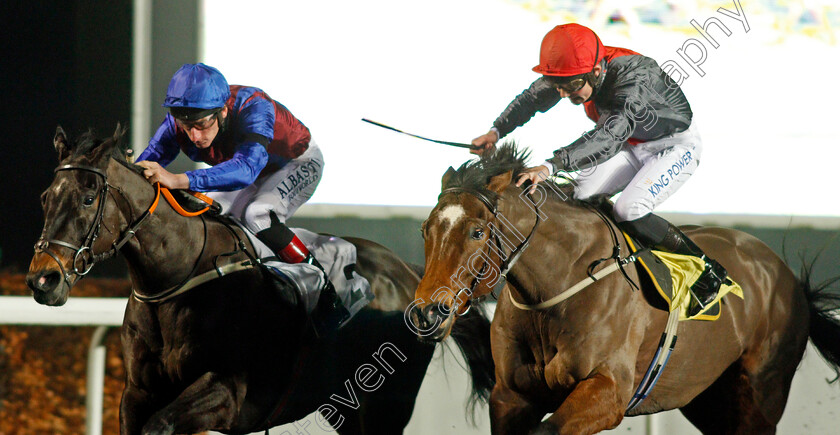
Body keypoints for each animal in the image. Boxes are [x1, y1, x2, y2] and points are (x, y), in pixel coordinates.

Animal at [29, 127, 496, 435]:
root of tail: (412, 272)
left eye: (88, 198)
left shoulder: (226, 392)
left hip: (387, 400)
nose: (43, 280)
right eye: (46, 197)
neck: (180, 276)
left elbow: (161, 426)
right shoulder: (137, 392)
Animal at [410, 145, 840, 434]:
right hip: (709, 397)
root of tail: (786, 277)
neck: (557, 286)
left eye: (477, 232)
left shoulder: (608, 391)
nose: (426, 313)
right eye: (425, 230)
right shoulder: (511, 396)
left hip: (761, 395)